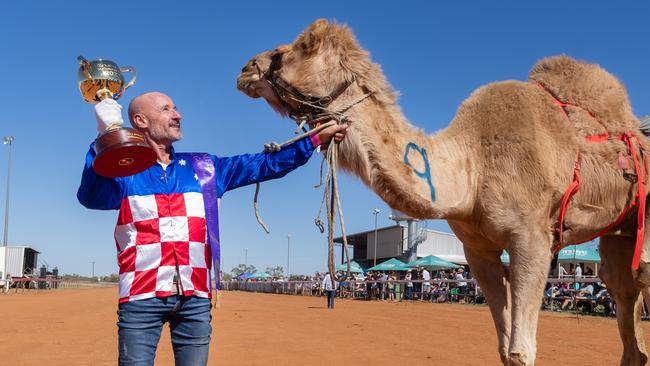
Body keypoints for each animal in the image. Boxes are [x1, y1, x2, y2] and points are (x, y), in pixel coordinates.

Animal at [235, 19, 648, 364]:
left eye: (293, 50)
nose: (245, 68)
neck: (471, 167)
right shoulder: (477, 250)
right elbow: (503, 348)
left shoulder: (532, 238)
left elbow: (520, 352)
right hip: (618, 231)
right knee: (623, 290)